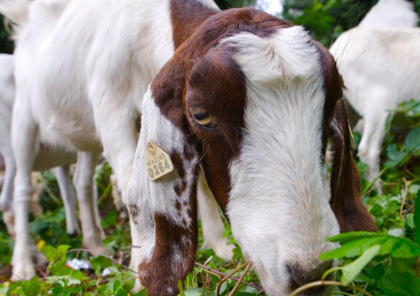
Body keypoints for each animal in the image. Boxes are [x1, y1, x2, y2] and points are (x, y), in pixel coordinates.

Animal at [1, 0, 376, 296]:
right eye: (201, 115)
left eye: (332, 100)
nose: (311, 274)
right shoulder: (110, 108)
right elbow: (127, 180)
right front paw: (138, 276)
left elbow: (203, 188)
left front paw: (219, 247)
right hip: (23, 122)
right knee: (21, 188)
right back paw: (23, 264)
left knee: (82, 183)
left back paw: (93, 243)